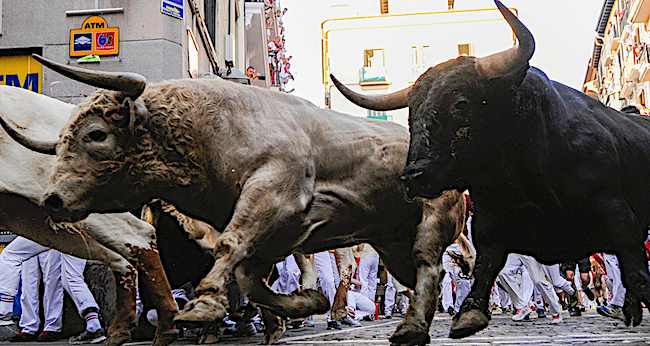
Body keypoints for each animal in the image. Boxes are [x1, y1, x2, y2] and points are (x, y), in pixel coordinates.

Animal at [334, 0, 650, 340]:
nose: (413, 176)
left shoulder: (617, 213)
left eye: (460, 104)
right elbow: (486, 263)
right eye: (411, 113)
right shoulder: (490, 219)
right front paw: (470, 312)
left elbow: (635, 267)